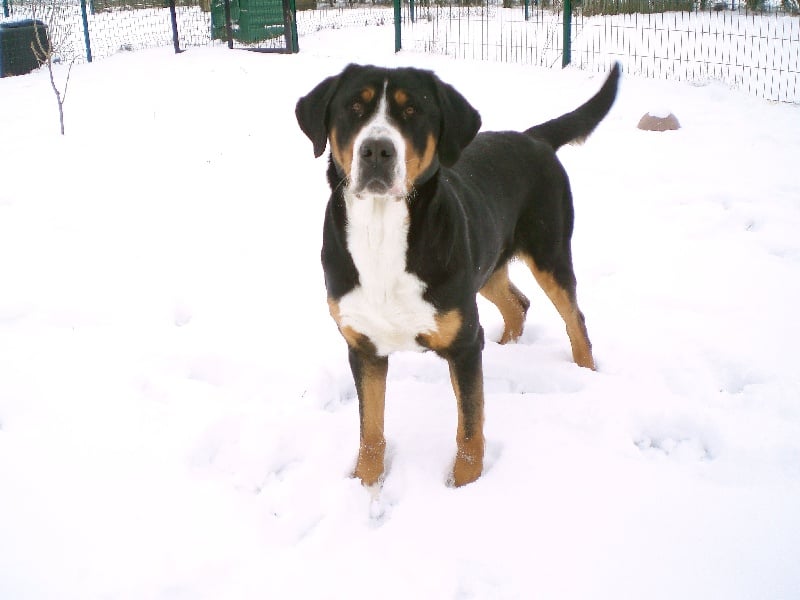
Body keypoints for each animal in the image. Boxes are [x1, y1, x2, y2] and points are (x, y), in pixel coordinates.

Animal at [296, 63, 620, 488]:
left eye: (412, 110)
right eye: (354, 107)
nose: (377, 150)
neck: (381, 232)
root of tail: (532, 137)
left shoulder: (463, 347)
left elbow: (469, 424)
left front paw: (465, 485)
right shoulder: (364, 347)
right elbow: (371, 429)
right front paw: (366, 482)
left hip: (548, 253)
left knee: (574, 318)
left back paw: (586, 373)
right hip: (484, 269)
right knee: (517, 303)